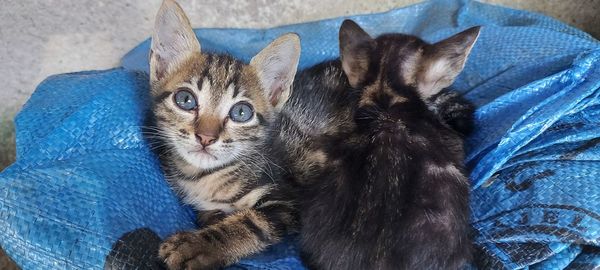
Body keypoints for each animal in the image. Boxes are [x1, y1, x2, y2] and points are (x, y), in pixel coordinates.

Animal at [146, 1, 300, 268]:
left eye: (241, 112)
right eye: (185, 100)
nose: (206, 137)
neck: (203, 178)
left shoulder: (287, 201)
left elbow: (252, 222)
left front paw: (195, 246)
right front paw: (211, 218)